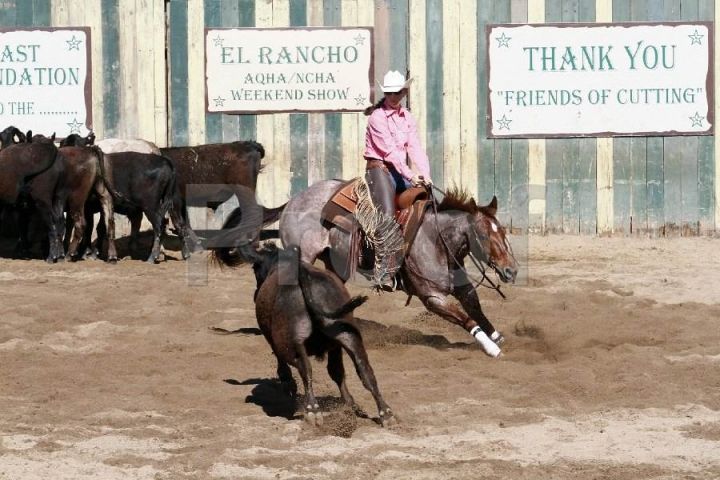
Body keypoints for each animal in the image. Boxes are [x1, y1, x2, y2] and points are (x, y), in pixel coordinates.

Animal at [276, 179, 516, 356]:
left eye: (503, 231)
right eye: (483, 235)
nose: (511, 271)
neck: (436, 240)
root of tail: (293, 200)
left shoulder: (462, 286)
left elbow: (475, 307)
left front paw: (497, 337)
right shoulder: (432, 298)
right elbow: (466, 318)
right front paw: (491, 348)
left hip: (336, 265)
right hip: (304, 257)